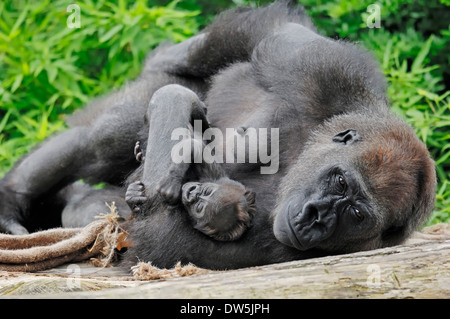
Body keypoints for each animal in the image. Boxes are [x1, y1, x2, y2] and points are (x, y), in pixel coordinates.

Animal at [126, 141, 255, 242]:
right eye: (206, 191)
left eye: (198, 207)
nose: (192, 193)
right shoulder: (218, 178)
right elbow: (197, 148)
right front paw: (173, 178)